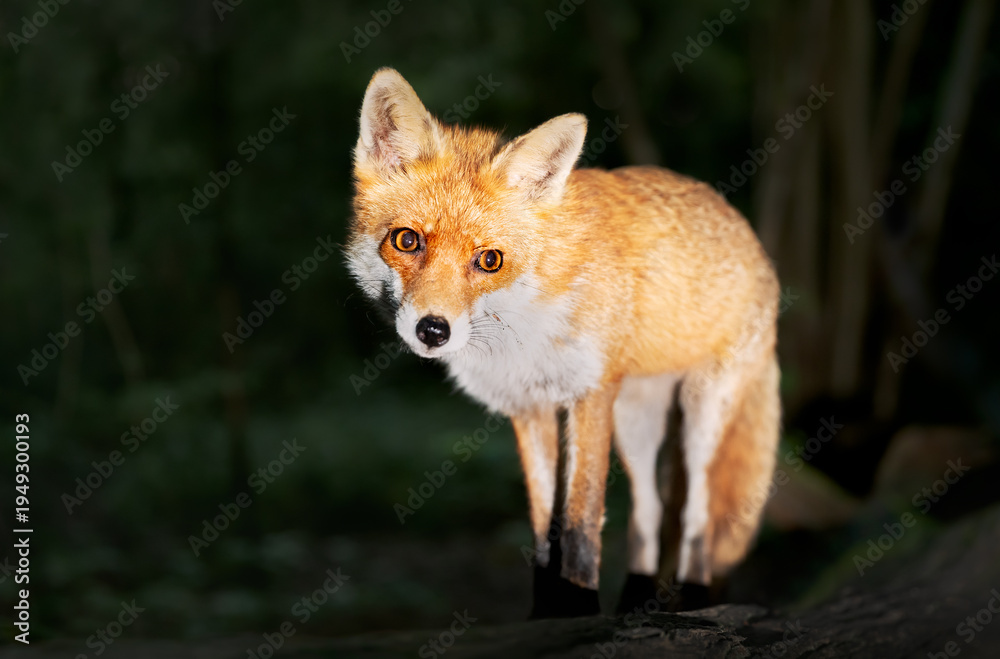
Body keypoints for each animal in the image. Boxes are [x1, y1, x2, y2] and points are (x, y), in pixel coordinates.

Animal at [346, 68, 781, 618]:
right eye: (407, 241)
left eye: (489, 260)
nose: (433, 329)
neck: (524, 333)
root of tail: (750, 234)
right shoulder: (529, 409)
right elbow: (542, 528)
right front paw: (548, 613)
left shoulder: (588, 396)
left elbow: (579, 524)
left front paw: (579, 606)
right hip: (635, 424)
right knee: (650, 508)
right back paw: (635, 599)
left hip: (700, 417)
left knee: (696, 517)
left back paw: (694, 599)